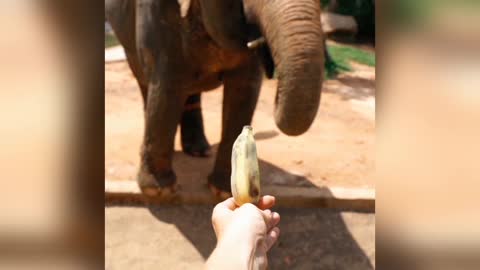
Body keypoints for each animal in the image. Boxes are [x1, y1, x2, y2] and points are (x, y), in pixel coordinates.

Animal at [104, 0, 322, 197]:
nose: (275, 80)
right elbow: (166, 84)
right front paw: (159, 190)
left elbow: (244, 88)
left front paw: (222, 191)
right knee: (145, 79)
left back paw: (199, 150)